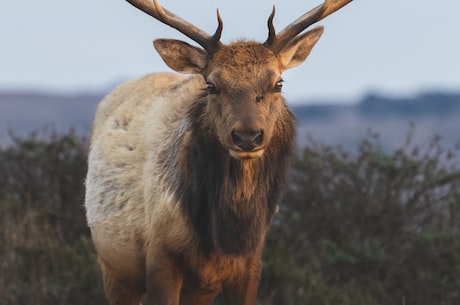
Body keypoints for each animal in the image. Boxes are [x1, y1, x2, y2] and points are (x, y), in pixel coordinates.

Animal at [85, 1, 352, 302]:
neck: (225, 237)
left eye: (278, 83)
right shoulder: (160, 254)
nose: (248, 136)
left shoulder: (249, 262)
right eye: (212, 85)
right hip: (113, 268)